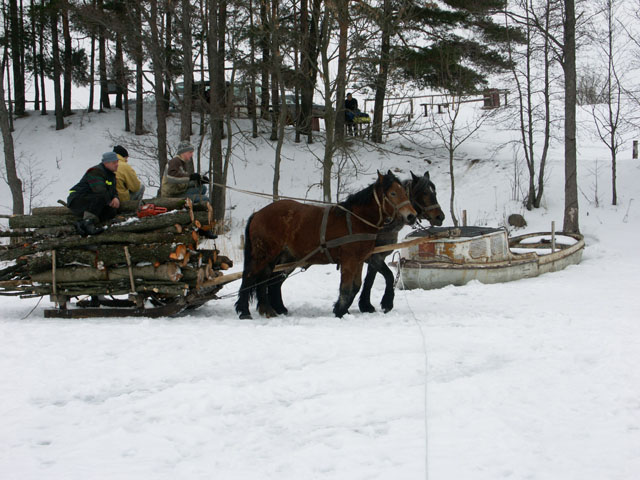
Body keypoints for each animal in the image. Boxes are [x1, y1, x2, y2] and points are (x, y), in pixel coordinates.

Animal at [236, 170, 420, 318]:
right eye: (393, 193)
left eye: (404, 192)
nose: (412, 216)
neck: (356, 220)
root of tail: (258, 214)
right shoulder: (350, 260)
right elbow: (346, 288)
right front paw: (340, 312)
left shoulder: (360, 260)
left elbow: (356, 286)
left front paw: (342, 309)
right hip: (264, 254)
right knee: (251, 277)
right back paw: (245, 311)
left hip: (280, 257)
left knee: (267, 280)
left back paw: (270, 309)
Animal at [356, 171, 444, 314]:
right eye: (425, 192)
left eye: (434, 192)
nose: (440, 216)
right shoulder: (374, 257)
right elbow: (384, 276)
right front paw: (381, 303)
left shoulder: (378, 257)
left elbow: (373, 278)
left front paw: (368, 304)